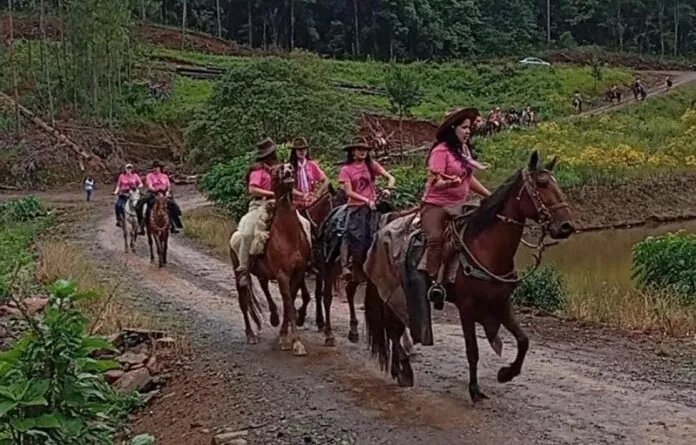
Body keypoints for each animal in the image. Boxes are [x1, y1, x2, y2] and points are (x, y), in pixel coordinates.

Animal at [230, 163, 312, 354]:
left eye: (288, 166)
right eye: (275, 170)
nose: (288, 169)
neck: (288, 235)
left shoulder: (297, 273)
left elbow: (289, 303)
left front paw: (284, 336)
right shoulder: (282, 274)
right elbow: (289, 305)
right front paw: (296, 342)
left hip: (264, 273)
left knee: (264, 286)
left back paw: (273, 317)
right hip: (239, 274)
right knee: (243, 302)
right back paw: (250, 335)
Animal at [362, 151, 572, 400]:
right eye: (541, 184)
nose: (566, 226)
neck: (486, 248)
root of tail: (385, 226)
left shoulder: (501, 303)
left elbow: (523, 341)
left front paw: (506, 374)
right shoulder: (467, 306)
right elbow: (473, 350)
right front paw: (474, 390)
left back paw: (399, 369)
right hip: (392, 291)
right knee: (394, 329)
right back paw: (403, 371)